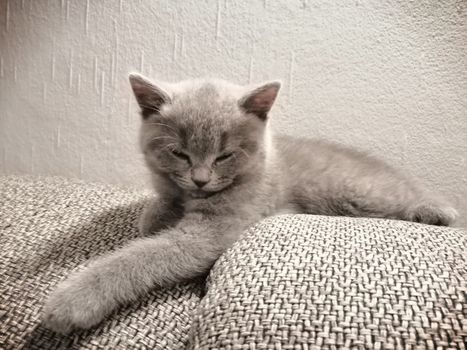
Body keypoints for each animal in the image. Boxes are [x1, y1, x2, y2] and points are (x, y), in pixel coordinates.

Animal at [42, 73, 458, 334]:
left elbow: (142, 256)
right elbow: (155, 213)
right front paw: (156, 215)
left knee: (404, 197)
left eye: (225, 155)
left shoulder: (213, 229)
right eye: (179, 153)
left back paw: (437, 211)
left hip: (354, 191)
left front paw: (72, 301)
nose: (200, 179)